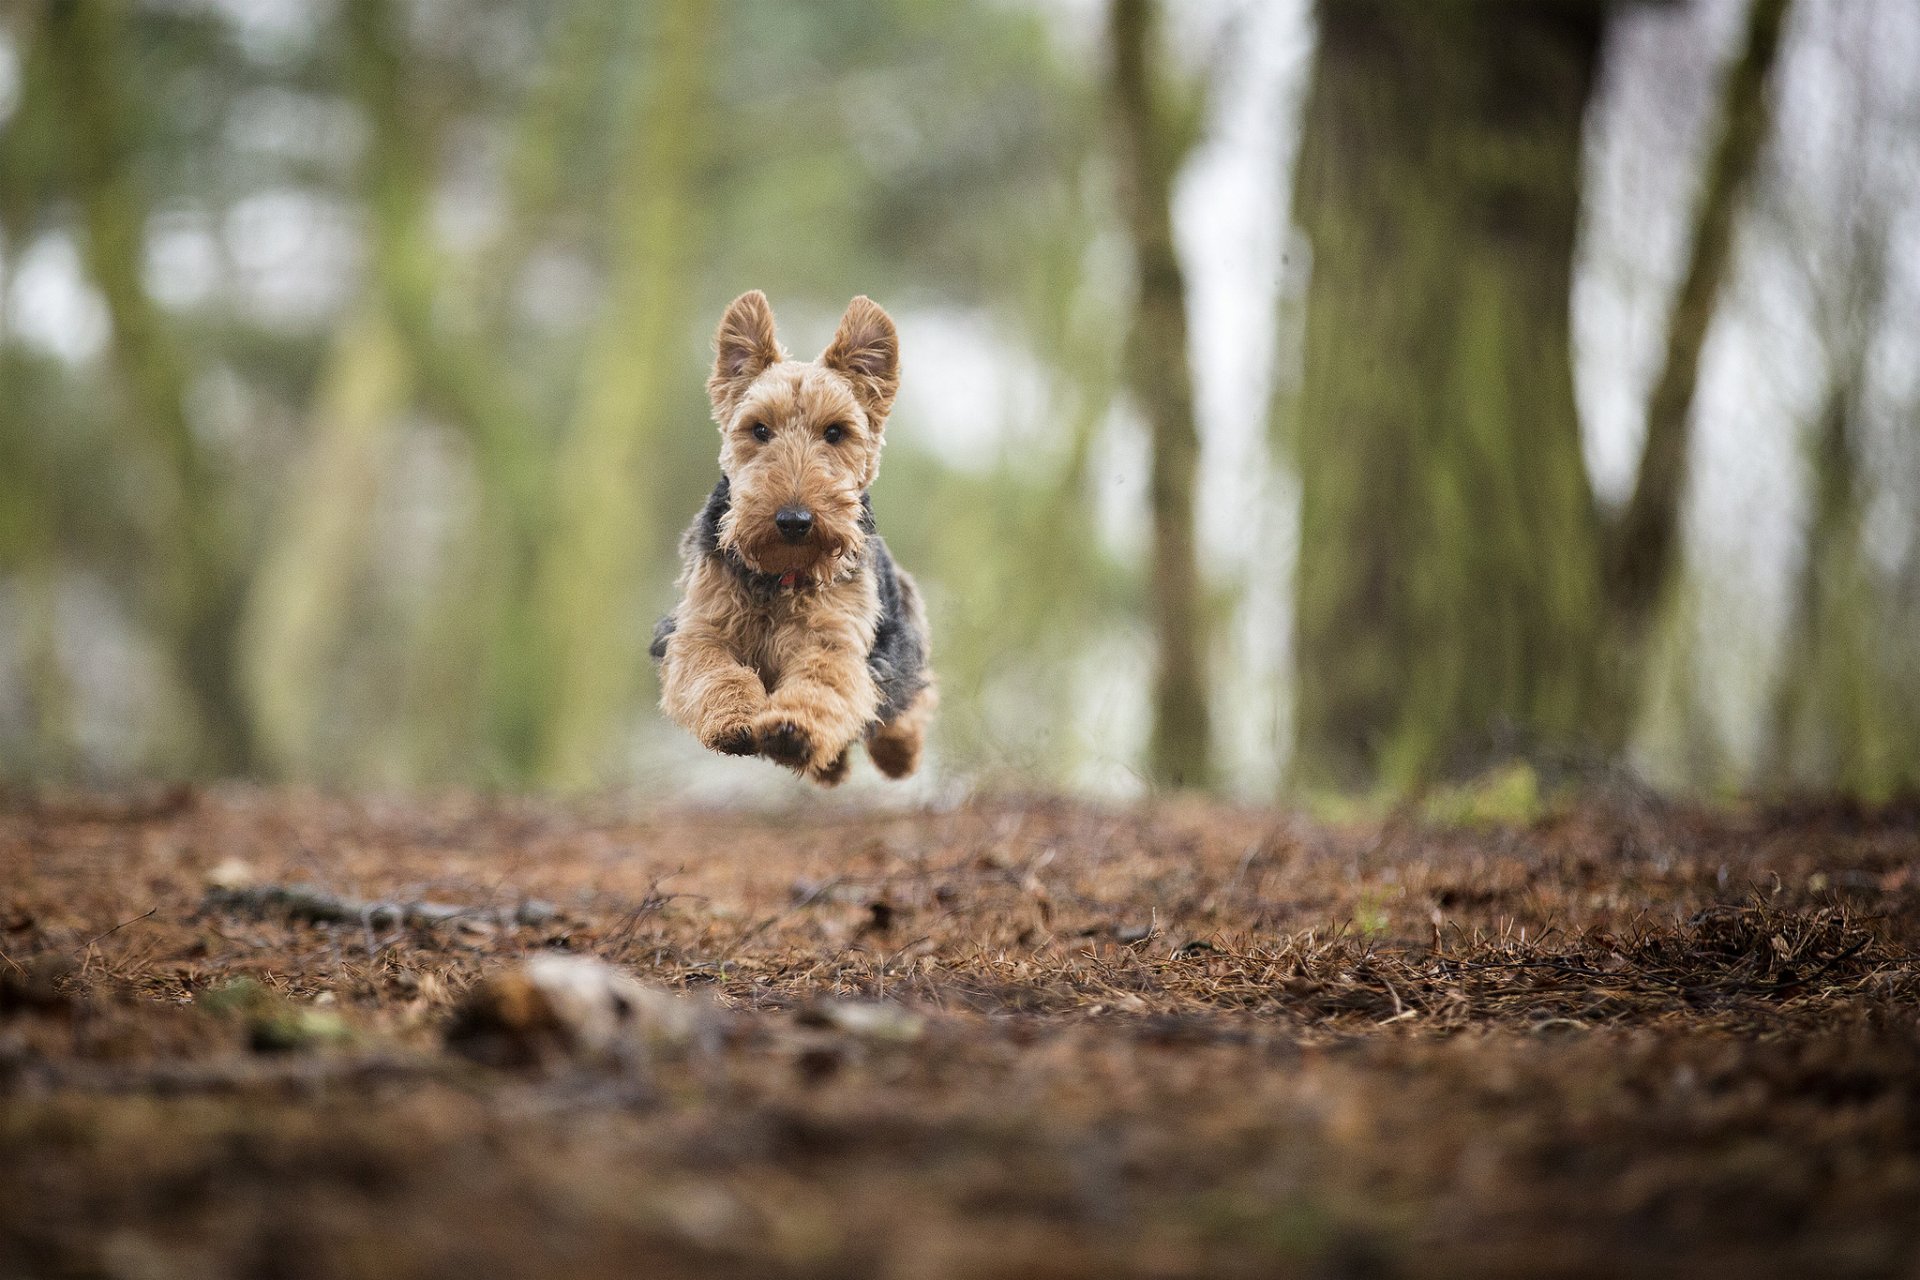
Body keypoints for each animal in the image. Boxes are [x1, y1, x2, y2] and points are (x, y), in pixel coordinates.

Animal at [652, 291, 936, 786]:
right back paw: (830, 767)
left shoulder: (832, 640)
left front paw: (792, 729)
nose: (793, 520)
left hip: (899, 644)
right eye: (759, 429)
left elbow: (824, 684)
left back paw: (896, 755)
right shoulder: (700, 632)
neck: (779, 574)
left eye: (836, 432)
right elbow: (717, 673)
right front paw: (735, 722)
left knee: (902, 706)